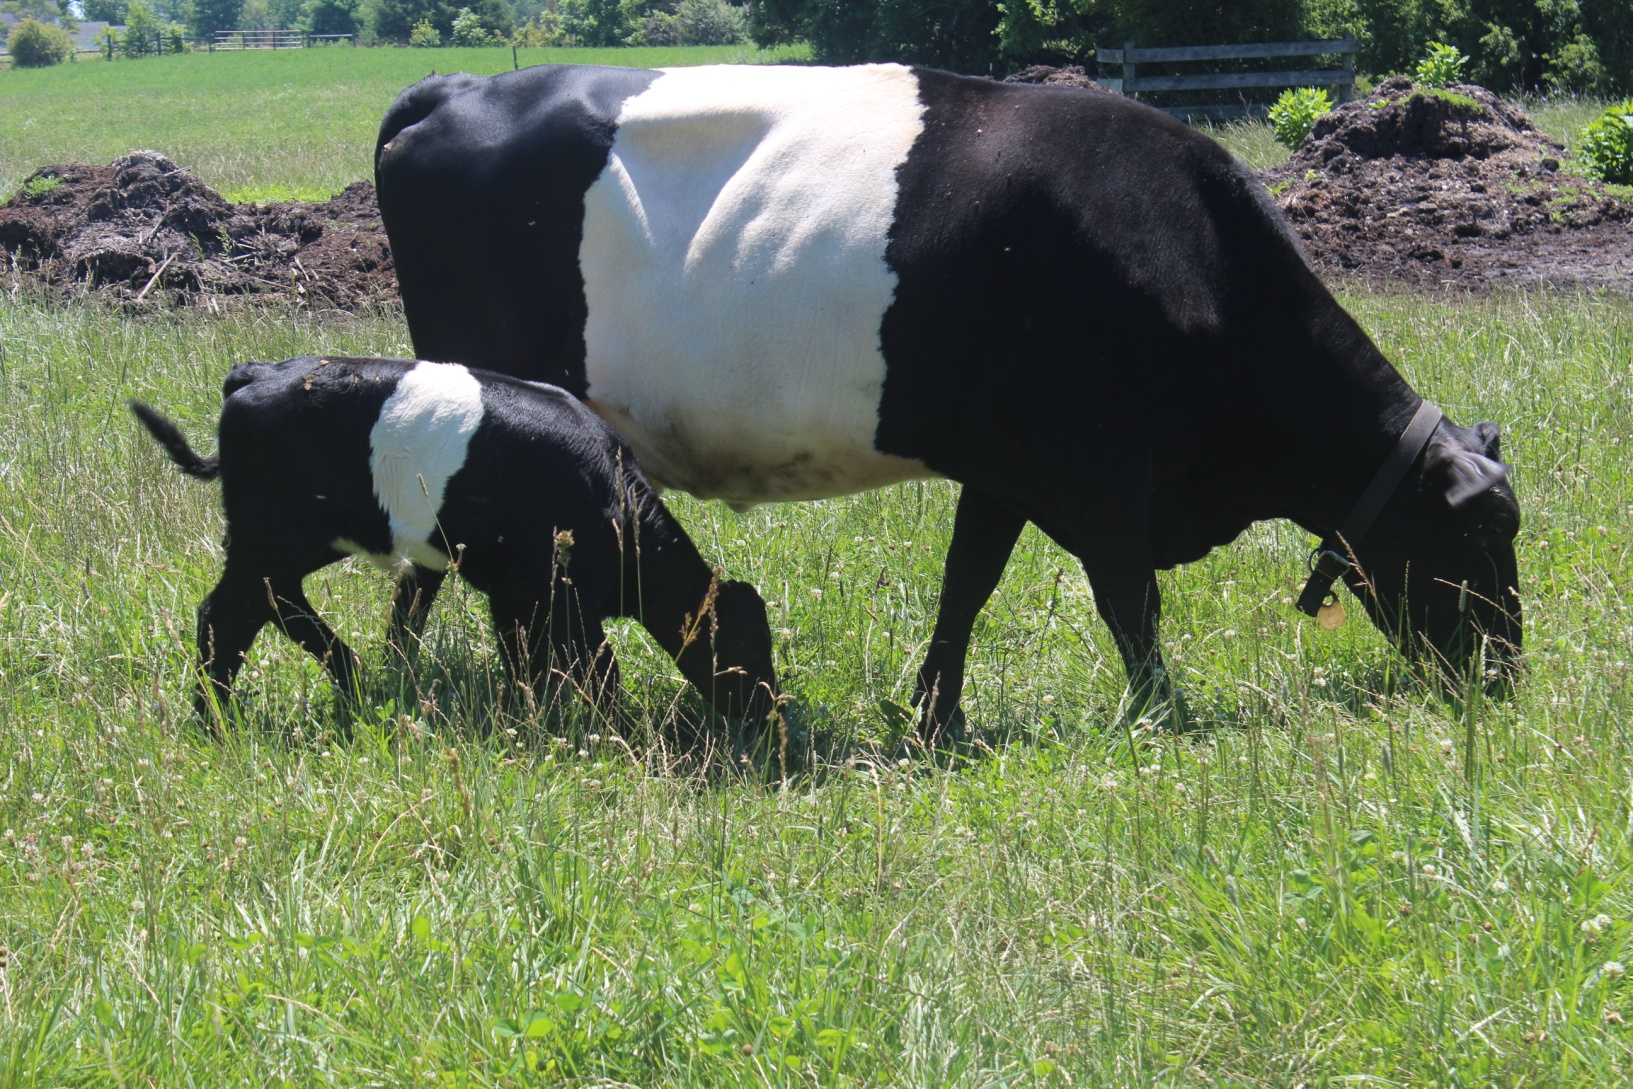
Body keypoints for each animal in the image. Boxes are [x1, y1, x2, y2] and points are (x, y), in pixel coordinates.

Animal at [132, 356, 777, 729]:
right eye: (742, 645)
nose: (767, 715)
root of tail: (259, 374)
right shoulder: (556, 592)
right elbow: (598, 669)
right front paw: (610, 730)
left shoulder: (514, 593)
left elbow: (515, 655)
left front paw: (534, 713)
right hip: (271, 536)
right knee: (227, 614)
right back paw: (215, 718)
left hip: (292, 542)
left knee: (275, 602)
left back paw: (351, 677)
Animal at [373, 63, 1522, 739]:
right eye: (1479, 536)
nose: (1508, 671)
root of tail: (454, 87)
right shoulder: (1098, 466)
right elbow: (1127, 598)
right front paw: (1163, 713)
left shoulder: (1005, 466)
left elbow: (965, 585)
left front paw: (934, 716)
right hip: (475, 402)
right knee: (422, 551)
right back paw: (406, 677)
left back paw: (406, 674)